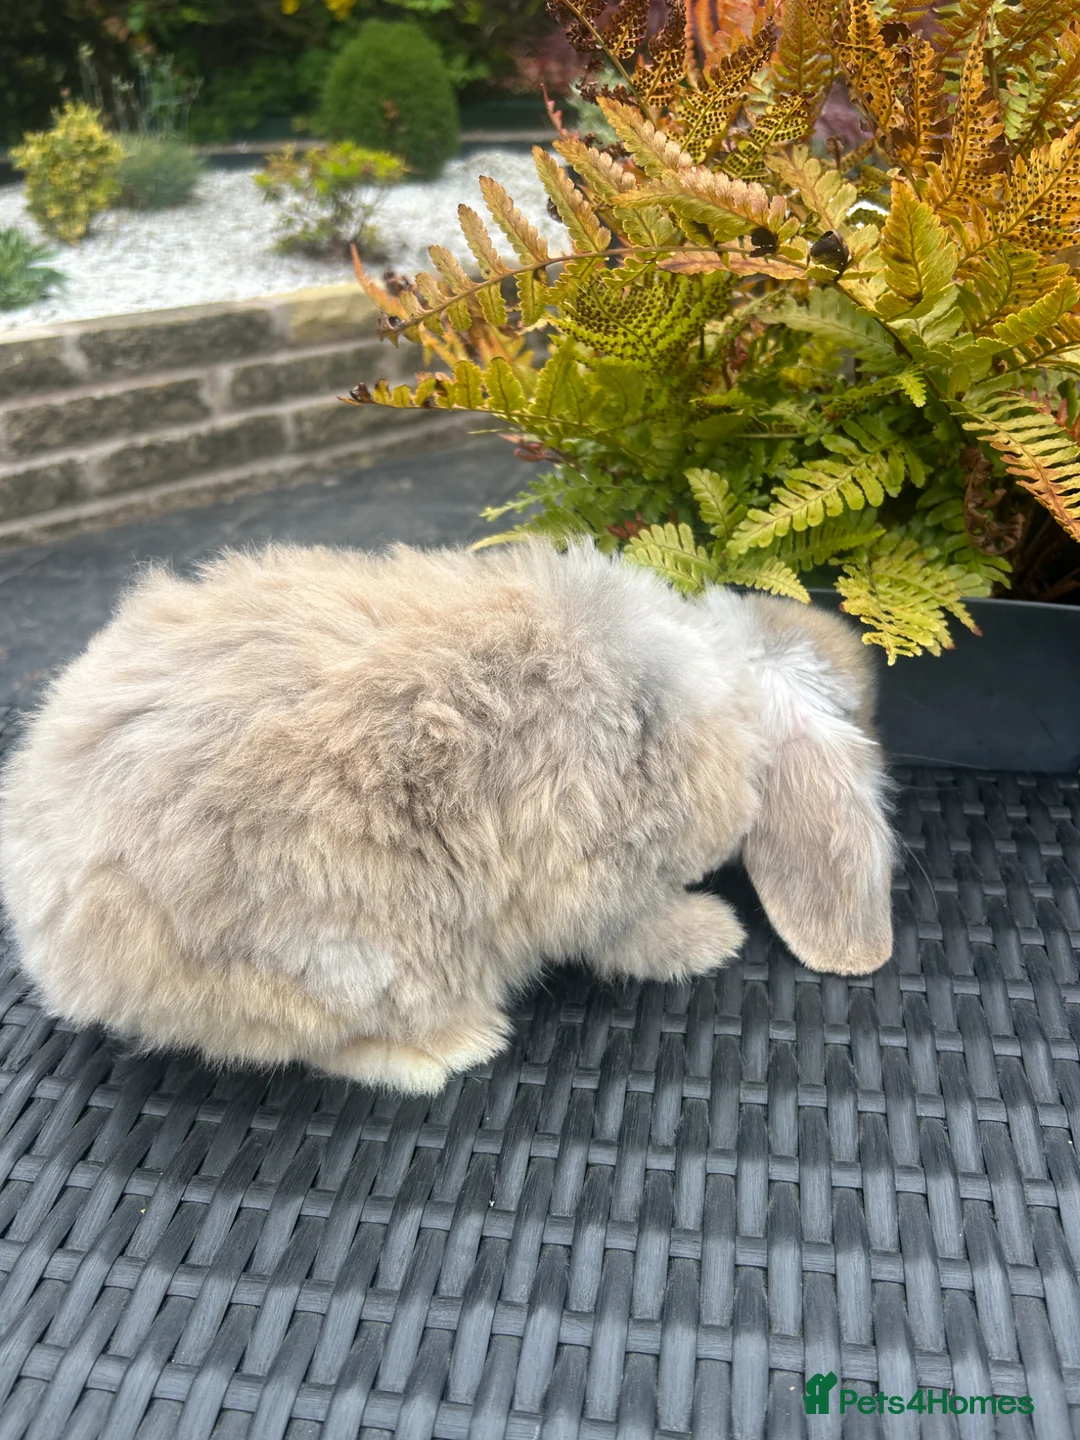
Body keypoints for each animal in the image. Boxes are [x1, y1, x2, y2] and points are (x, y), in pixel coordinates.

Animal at [0, 538, 897, 1094]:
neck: (724, 685)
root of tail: (62, 958)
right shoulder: (607, 882)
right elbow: (628, 932)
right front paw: (709, 938)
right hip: (348, 960)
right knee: (322, 1044)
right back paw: (450, 1050)